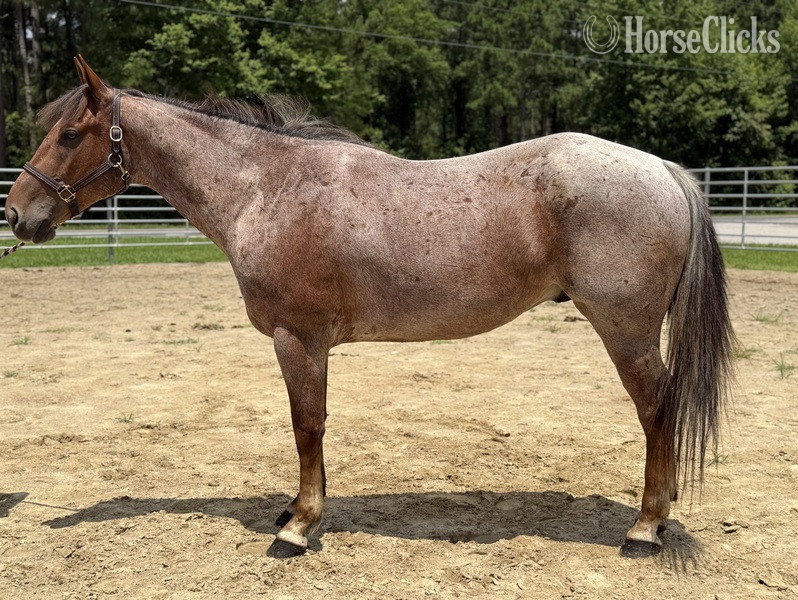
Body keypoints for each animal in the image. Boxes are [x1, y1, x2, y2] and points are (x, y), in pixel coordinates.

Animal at [4, 56, 735, 559]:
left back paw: (644, 529)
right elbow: (312, 428)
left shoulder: (297, 338)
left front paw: (298, 529)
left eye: (69, 134)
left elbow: (306, 425)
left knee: (657, 411)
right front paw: (293, 511)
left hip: (626, 330)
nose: (17, 214)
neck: (268, 188)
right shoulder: (307, 343)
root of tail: (663, 170)